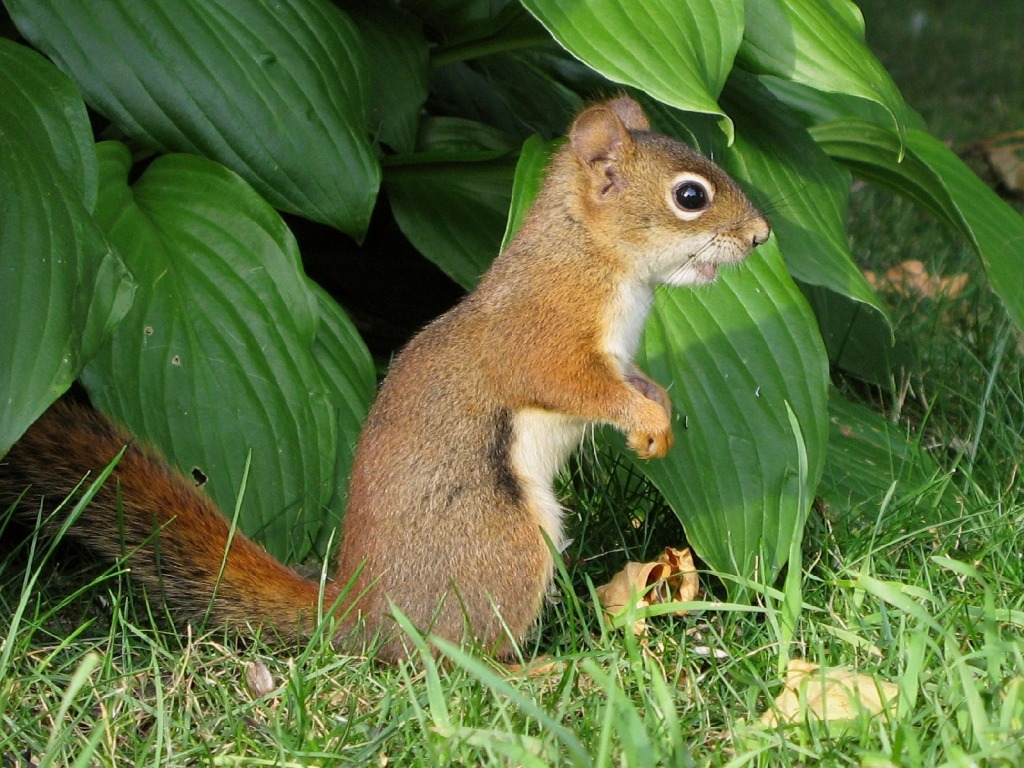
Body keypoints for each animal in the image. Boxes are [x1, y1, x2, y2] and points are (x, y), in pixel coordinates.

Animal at [0, 96, 770, 663]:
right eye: (691, 196)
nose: (762, 236)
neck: (597, 257)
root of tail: (360, 612)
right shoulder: (542, 333)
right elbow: (572, 385)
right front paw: (647, 422)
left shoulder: (622, 354)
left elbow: (636, 380)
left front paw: (657, 413)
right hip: (502, 546)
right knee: (453, 659)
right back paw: (535, 674)